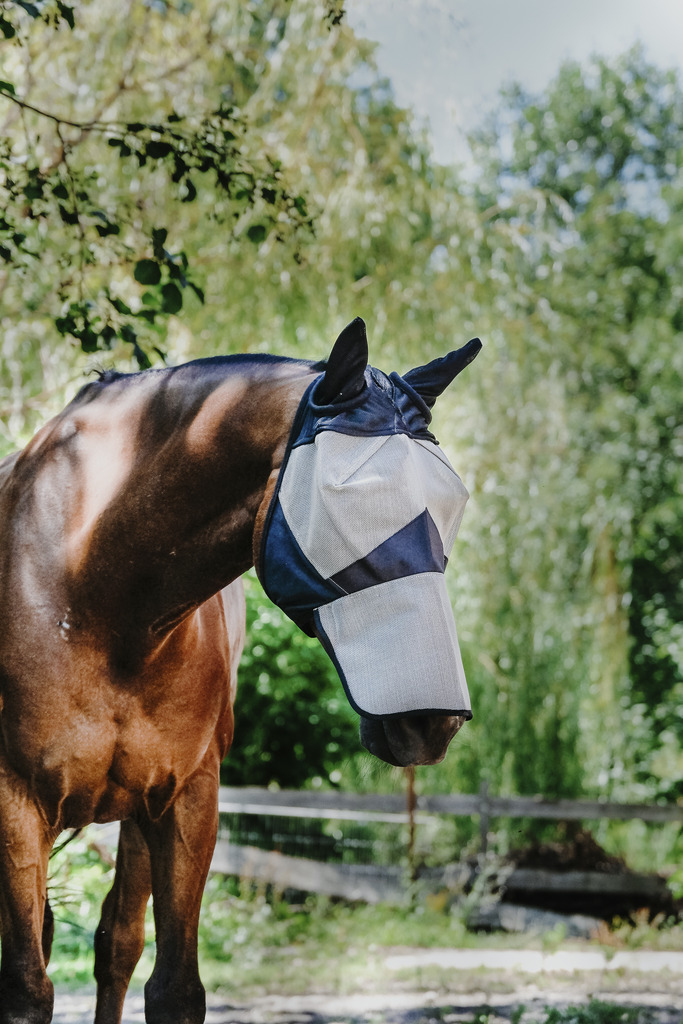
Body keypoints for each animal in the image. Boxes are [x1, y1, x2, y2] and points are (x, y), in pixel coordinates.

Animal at [0, 316, 480, 1023]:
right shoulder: (16, 801)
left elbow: (173, 987)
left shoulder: (186, 797)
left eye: (452, 506)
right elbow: (26, 990)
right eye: (348, 502)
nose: (433, 721)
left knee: (116, 943)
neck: (92, 591)